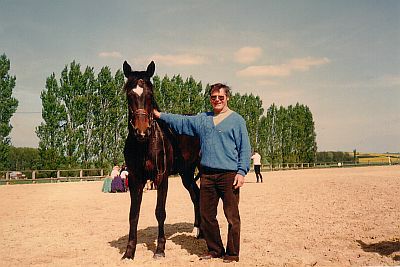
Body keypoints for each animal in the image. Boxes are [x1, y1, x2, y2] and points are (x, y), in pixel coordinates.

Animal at [121, 60, 203, 260]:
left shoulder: (161, 177)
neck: (145, 145)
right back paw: (198, 231)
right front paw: (129, 252)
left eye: (150, 95)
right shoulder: (135, 179)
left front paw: (159, 249)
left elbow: (160, 212)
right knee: (195, 195)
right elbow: (133, 214)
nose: (142, 131)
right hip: (186, 173)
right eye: (129, 95)